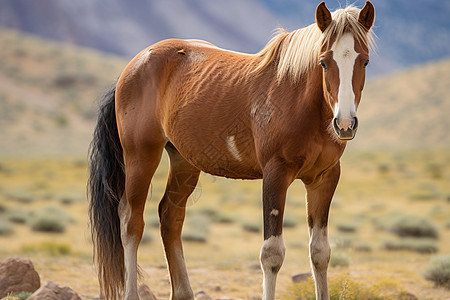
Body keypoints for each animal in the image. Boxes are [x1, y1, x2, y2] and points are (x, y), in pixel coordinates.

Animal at [89, 1, 376, 298]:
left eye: (364, 61)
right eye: (323, 61)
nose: (345, 124)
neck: (301, 101)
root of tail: (132, 67)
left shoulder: (325, 178)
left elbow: (320, 253)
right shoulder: (275, 174)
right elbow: (272, 254)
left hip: (184, 162)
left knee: (170, 217)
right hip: (141, 156)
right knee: (131, 221)